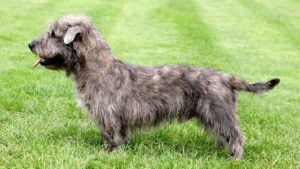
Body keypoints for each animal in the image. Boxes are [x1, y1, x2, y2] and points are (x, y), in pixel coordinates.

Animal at [28, 14, 278, 160]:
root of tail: (225, 76)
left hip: (218, 112)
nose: (30, 44)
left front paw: (109, 153)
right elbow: (120, 134)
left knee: (235, 135)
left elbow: (111, 134)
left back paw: (235, 157)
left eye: (53, 34)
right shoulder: (117, 118)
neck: (96, 68)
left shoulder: (108, 114)